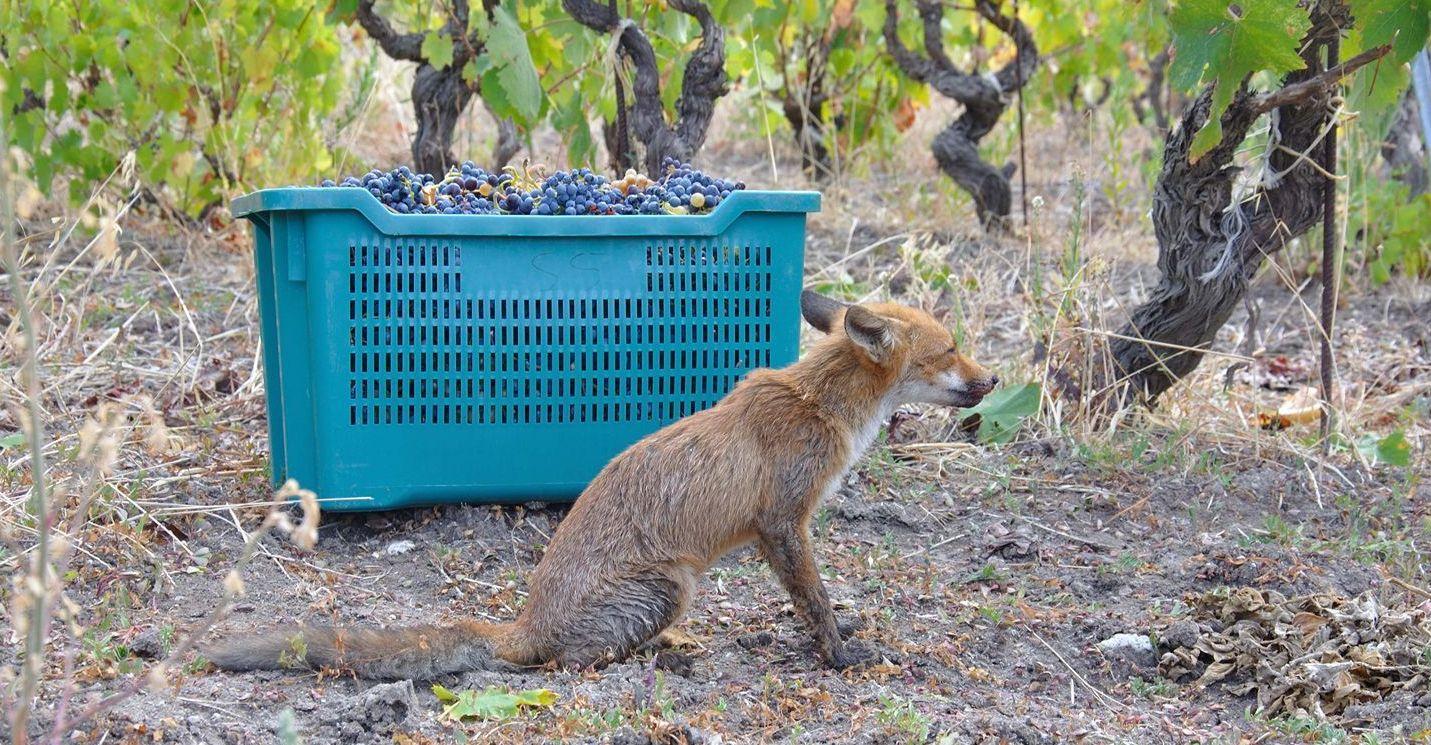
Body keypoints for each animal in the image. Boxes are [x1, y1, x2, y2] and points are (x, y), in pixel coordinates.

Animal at [206, 289, 997, 678]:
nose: (992, 380)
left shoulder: (786, 528)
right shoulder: (783, 524)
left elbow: (820, 599)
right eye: (950, 349)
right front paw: (838, 654)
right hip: (671, 584)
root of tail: (527, 621)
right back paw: (653, 659)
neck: (822, 406)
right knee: (566, 662)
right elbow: (815, 601)